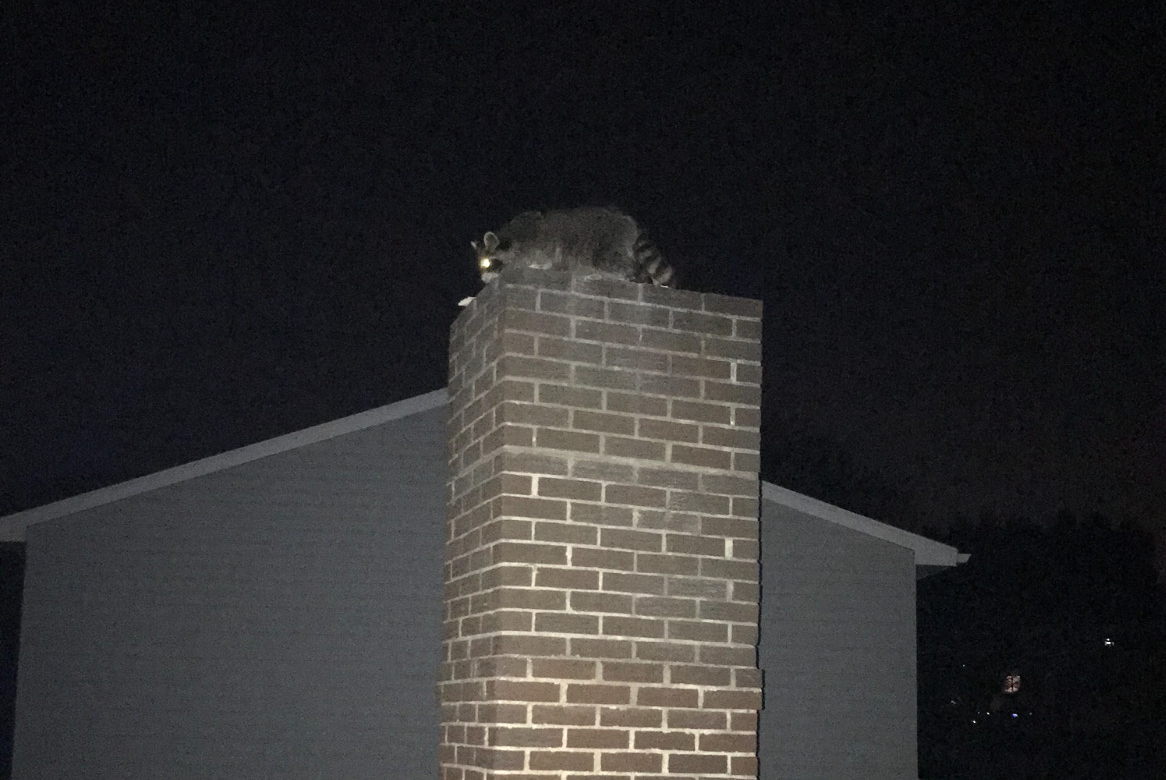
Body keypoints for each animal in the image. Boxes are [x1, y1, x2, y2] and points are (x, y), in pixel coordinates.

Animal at [471, 208, 680, 287]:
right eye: (481, 264)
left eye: (488, 262)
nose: (481, 277)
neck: (512, 235)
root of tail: (629, 222)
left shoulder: (533, 247)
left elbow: (533, 261)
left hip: (605, 246)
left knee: (622, 265)